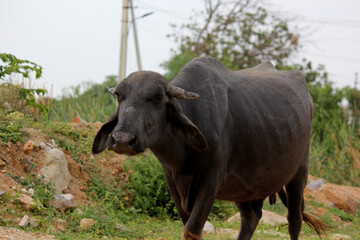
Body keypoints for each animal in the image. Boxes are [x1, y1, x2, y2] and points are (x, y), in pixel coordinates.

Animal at [91, 56, 328, 240]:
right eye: (119, 96)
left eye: (158, 97)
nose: (122, 139)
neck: (184, 159)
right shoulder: (172, 182)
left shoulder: (211, 180)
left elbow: (192, 230)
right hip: (246, 185)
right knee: (251, 217)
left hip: (299, 173)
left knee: (294, 221)